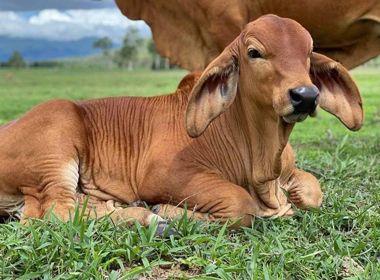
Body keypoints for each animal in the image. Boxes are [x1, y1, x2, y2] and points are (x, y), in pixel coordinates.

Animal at [0, 15, 362, 230]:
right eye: (254, 52)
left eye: (309, 53)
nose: (305, 95)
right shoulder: (165, 176)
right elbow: (239, 204)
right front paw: (168, 210)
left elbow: (312, 191)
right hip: (56, 145)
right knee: (55, 212)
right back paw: (147, 217)